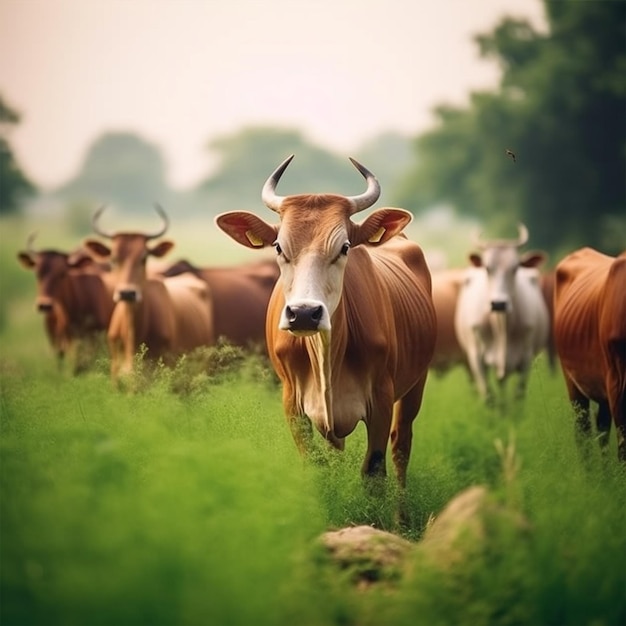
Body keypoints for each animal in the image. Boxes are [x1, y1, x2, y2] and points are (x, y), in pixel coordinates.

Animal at [214, 152, 434, 516]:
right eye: (278, 247)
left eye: (344, 247)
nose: (304, 312)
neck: (328, 350)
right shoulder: (292, 401)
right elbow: (316, 468)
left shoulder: (381, 398)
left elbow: (374, 471)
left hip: (417, 383)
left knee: (402, 445)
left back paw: (401, 517)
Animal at [450, 223, 548, 400]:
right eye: (488, 268)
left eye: (515, 268)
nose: (499, 304)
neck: (502, 326)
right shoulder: (477, 359)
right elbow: (489, 398)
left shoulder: (526, 358)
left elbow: (518, 397)